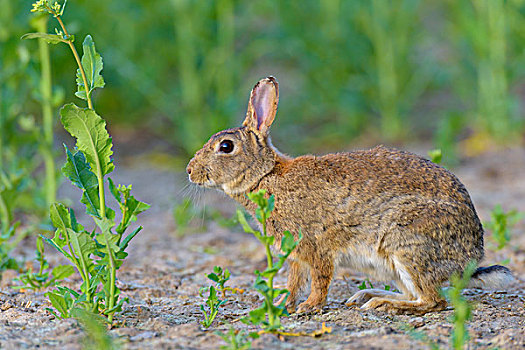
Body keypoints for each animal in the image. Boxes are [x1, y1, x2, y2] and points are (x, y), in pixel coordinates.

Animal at [186, 76, 512, 314]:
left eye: (225, 147)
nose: (190, 171)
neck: (267, 176)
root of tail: (470, 259)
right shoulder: (295, 253)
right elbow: (293, 282)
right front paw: (280, 306)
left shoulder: (315, 245)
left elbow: (319, 279)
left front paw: (309, 307)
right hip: (397, 264)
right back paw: (367, 295)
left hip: (408, 244)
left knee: (434, 301)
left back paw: (383, 304)